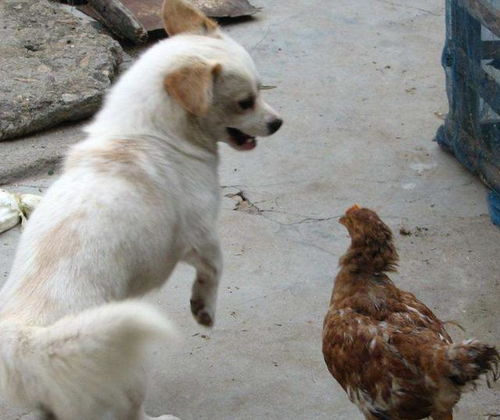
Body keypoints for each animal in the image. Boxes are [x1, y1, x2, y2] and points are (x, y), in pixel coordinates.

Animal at [0, 1, 282, 418]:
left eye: (261, 91)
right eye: (245, 102)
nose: (277, 123)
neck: (145, 133)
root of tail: (25, 340)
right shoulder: (201, 235)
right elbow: (215, 268)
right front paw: (204, 309)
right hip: (128, 367)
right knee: (129, 413)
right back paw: (159, 417)